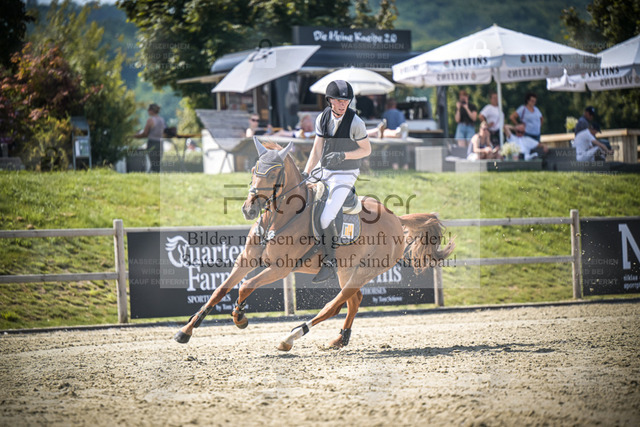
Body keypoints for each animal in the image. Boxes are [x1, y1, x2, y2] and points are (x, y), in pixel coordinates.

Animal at [174, 137, 455, 351]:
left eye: (273, 173)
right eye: (254, 169)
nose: (249, 209)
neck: (279, 217)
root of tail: (396, 218)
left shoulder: (280, 268)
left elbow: (246, 286)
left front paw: (240, 316)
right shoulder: (247, 259)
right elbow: (219, 290)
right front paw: (186, 330)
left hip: (365, 270)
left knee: (335, 305)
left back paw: (291, 337)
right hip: (347, 269)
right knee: (353, 300)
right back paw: (339, 340)